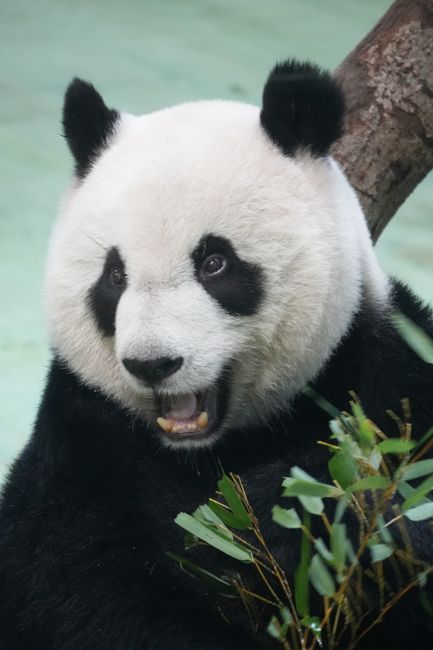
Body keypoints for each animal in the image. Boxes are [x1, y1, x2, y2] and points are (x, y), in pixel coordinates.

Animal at [1, 58, 433, 650]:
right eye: (114, 276)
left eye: (214, 263)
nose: (152, 364)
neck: (213, 448)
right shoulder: (81, 441)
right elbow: (84, 588)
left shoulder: (386, 376)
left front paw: (281, 511)